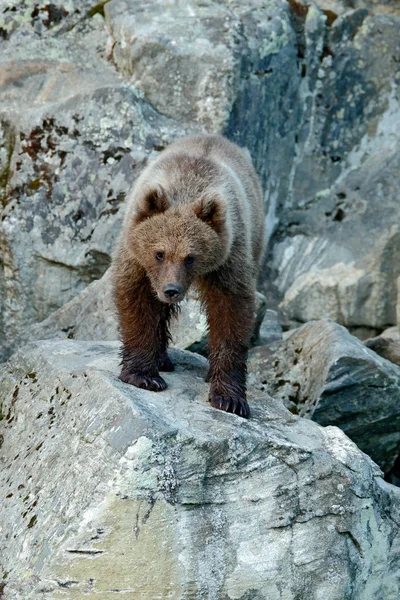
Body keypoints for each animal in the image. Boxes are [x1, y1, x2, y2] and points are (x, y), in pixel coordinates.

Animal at [111, 135, 264, 418]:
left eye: (190, 257)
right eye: (159, 253)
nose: (171, 290)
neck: (187, 187)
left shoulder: (230, 257)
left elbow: (232, 313)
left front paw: (230, 398)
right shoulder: (136, 256)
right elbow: (138, 302)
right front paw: (144, 375)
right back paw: (162, 359)